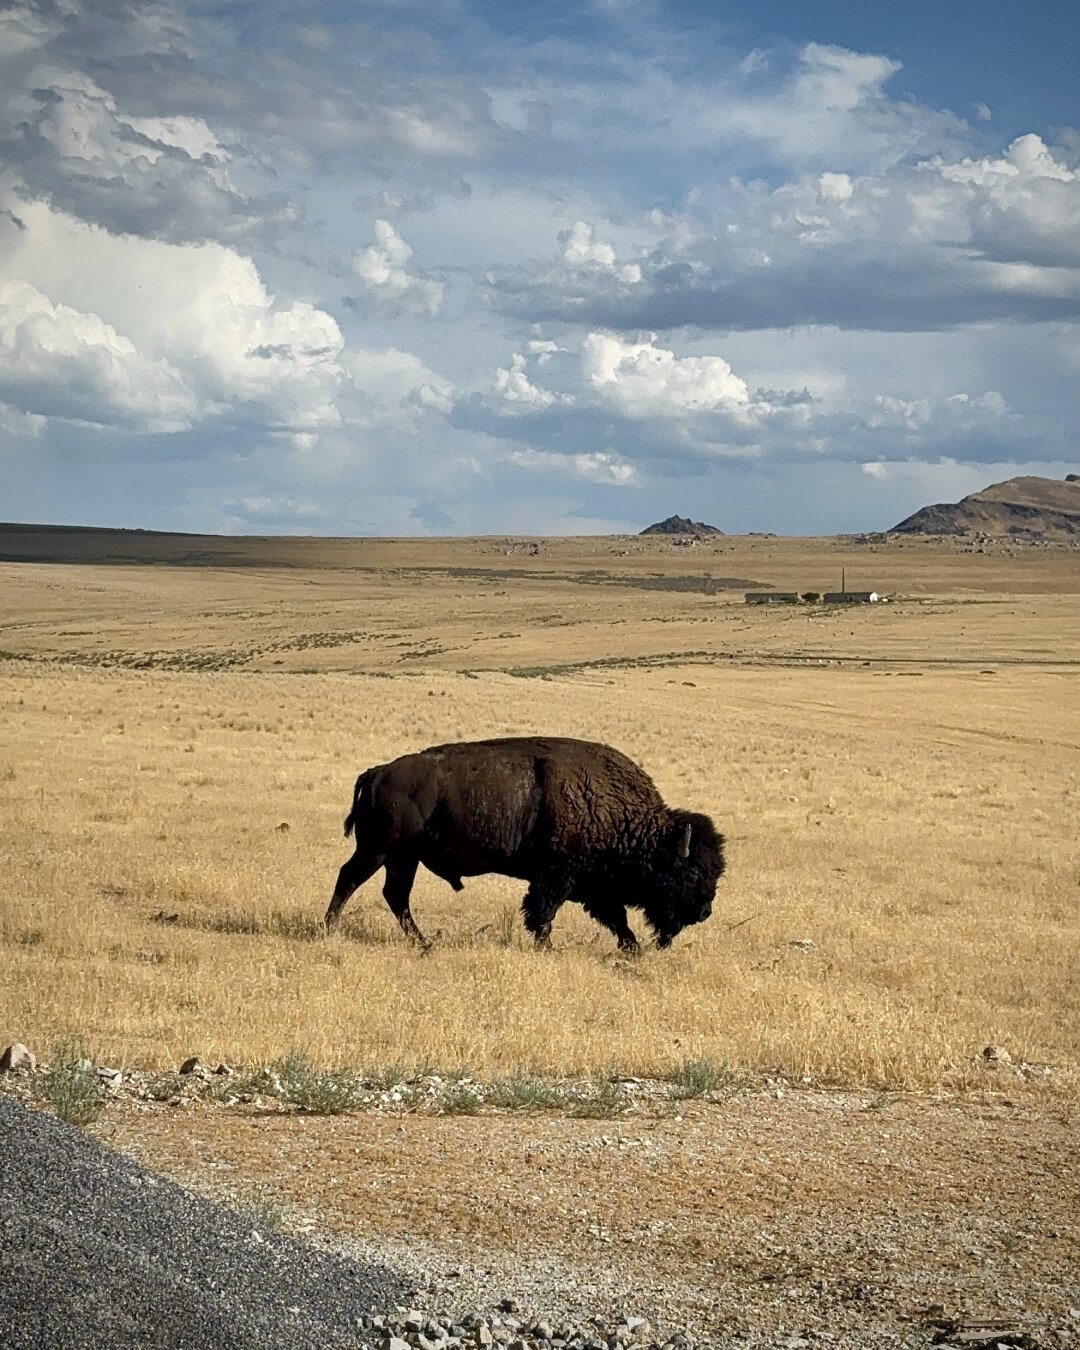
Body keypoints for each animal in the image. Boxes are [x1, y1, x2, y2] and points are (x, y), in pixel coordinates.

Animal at [325, 736, 725, 952]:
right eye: (691, 874)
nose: (705, 911)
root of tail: (377, 772)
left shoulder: (593, 886)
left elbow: (615, 918)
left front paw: (632, 949)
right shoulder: (556, 877)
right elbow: (544, 912)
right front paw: (547, 947)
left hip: (404, 857)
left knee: (395, 895)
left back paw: (423, 943)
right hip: (378, 850)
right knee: (349, 878)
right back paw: (330, 929)